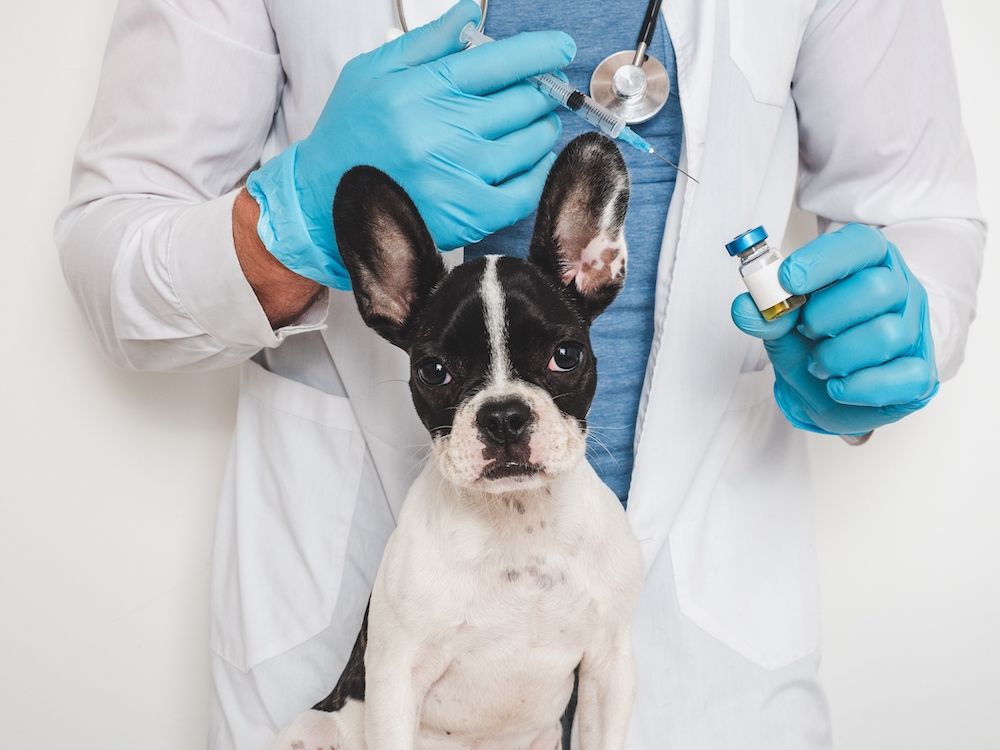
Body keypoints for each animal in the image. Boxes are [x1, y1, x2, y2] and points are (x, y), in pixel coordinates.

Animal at [274, 135, 644, 750]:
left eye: (566, 355)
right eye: (434, 371)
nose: (504, 416)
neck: (518, 522)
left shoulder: (608, 668)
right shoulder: (396, 678)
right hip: (312, 728)